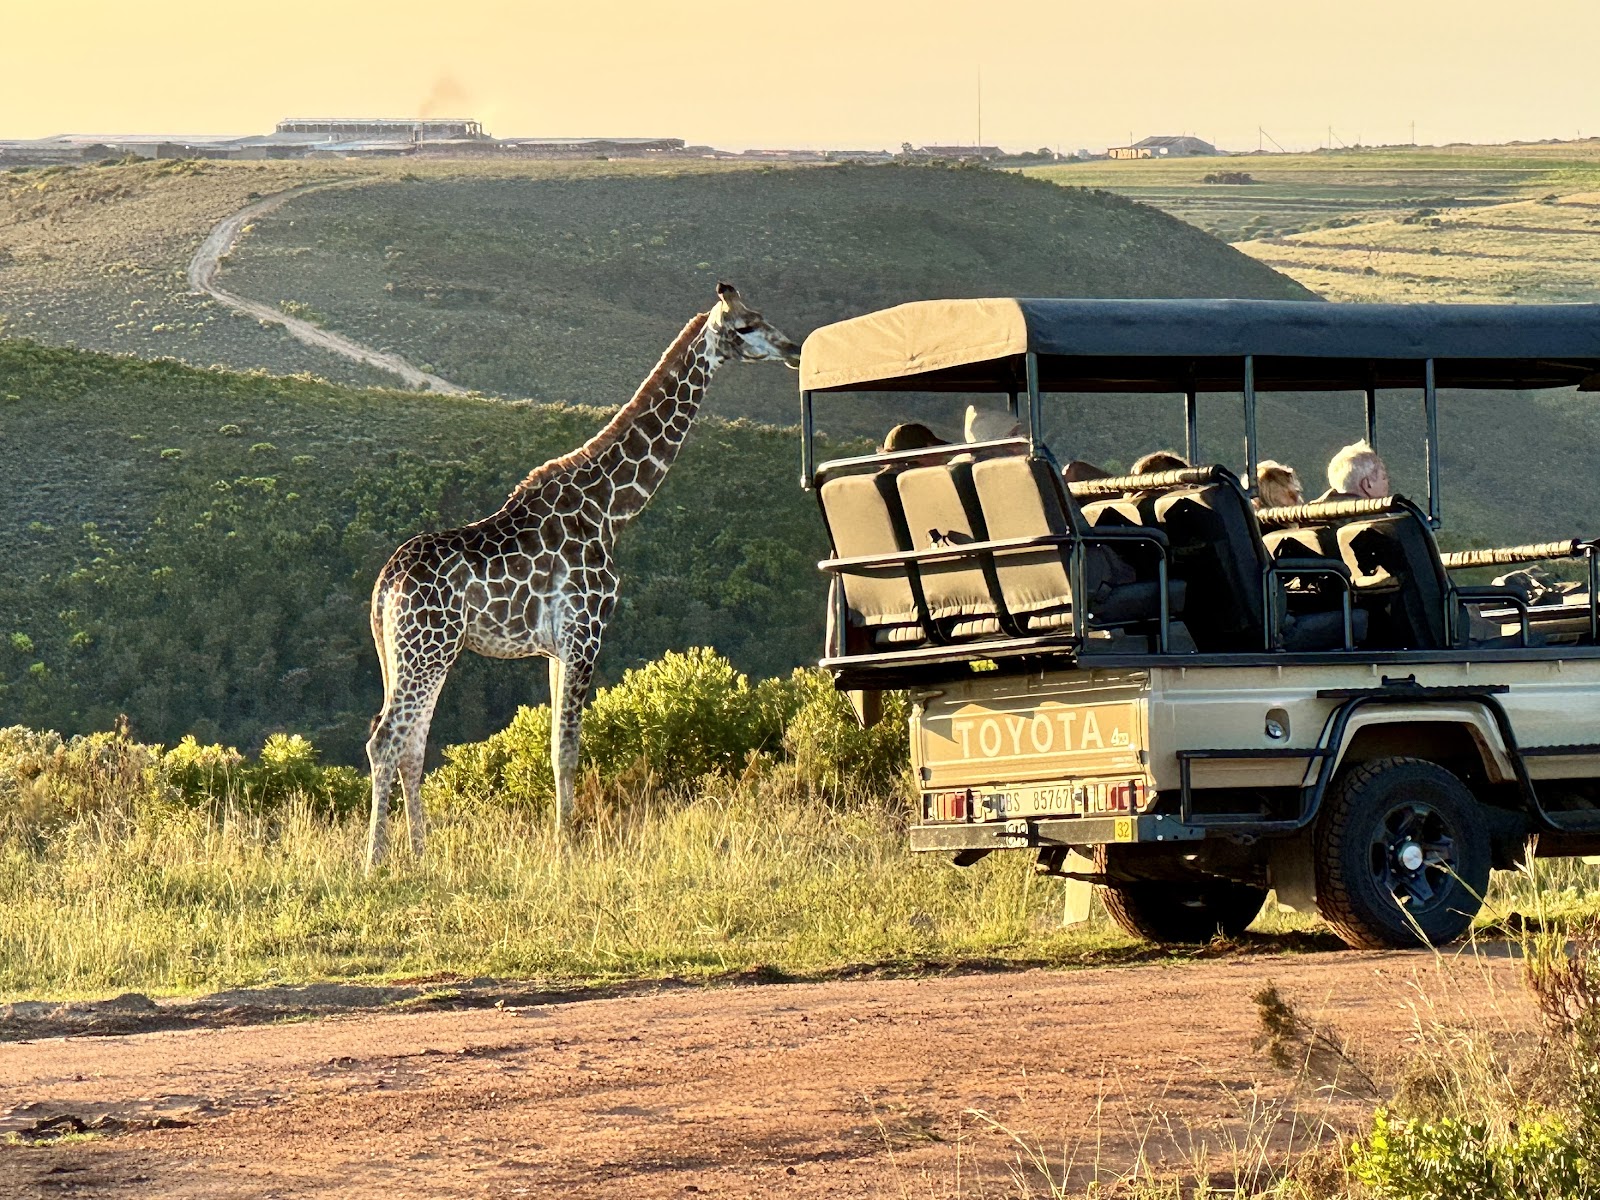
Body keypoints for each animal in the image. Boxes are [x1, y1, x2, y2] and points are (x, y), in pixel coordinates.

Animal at [364, 284, 800, 866]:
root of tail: (384, 586)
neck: (611, 507)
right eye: (747, 325)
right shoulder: (586, 632)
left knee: (411, 743)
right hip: (426, 650)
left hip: (410, 653)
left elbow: (553, 746)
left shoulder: (555, 647)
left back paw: (421, 855)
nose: (793, 348)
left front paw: (560, 838)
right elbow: (569, 748)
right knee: (385, 739)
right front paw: (565, 847)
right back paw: (376, 862)